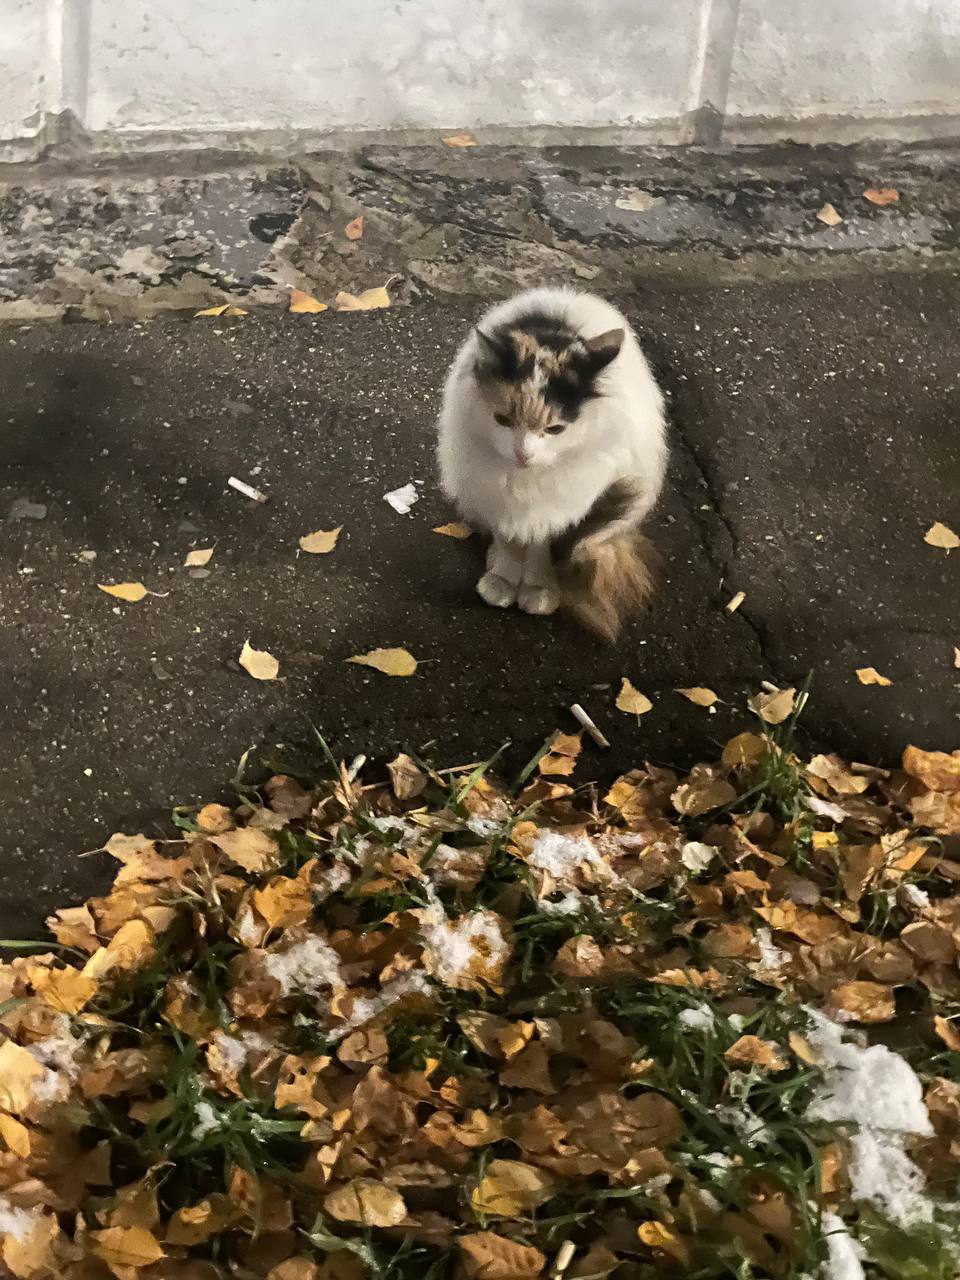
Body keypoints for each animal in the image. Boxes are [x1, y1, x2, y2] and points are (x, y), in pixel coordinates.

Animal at [437, 289, 670, 640]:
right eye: (503, 420)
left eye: (555, 429)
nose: (523, 454)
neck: (524, 480)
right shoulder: (494, 495)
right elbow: (508, 540)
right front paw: (502, 579)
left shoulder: (553, 507)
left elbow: (539, 545)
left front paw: (538, 588)